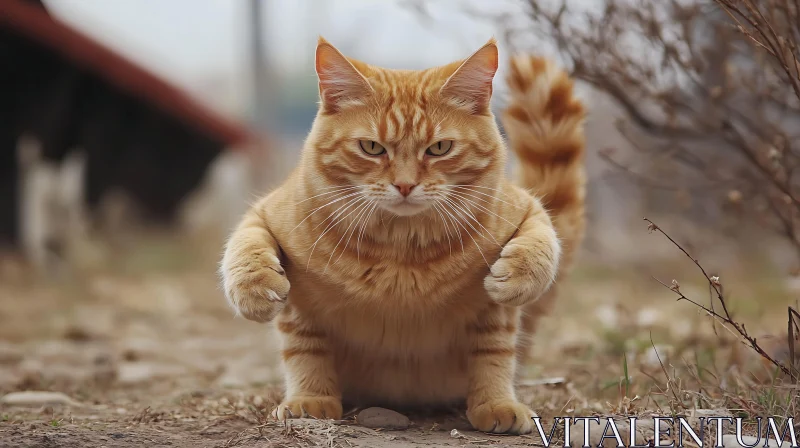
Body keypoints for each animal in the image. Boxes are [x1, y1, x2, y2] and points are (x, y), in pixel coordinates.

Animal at [222, 36, 584, 436]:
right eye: (372, 148)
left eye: (440, 148)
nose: (406, 185)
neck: (399, 248)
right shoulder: (266, 213)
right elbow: (246, 245)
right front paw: (255, 290)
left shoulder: (526, 207)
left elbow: (542, 241)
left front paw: (516, 276)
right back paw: (310, 399)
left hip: (494, 324)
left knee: (495, 355)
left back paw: (495, 403)